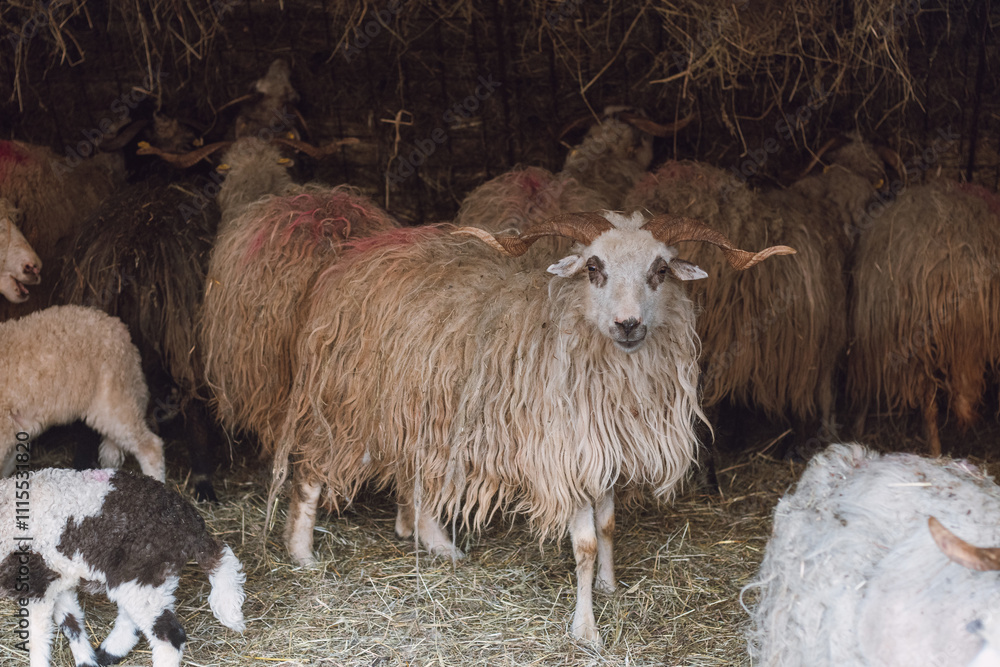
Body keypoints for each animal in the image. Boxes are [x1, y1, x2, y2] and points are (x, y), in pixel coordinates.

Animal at [0, 467, 245, 667]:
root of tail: (191, 524)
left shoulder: (37, 582)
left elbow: (38, 639)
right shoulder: (57, 579)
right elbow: (71, 623)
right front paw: (86, 661)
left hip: (139, 569)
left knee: (169, 636)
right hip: (146, 576)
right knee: (134, 620)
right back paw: (107, 653)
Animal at [272, 210, 793, 643]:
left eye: (660, 270)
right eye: (593, 268)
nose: (627, 325)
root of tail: (347, 262)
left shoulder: (602, 448)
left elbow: (608, 526)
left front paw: (609, 587)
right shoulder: (563, 456)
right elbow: (584, 544)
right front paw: (586, 628)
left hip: (420, 412)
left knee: (415, 479)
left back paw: (440, 547)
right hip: (347, 405)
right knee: (312, 470)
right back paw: (302, 554)